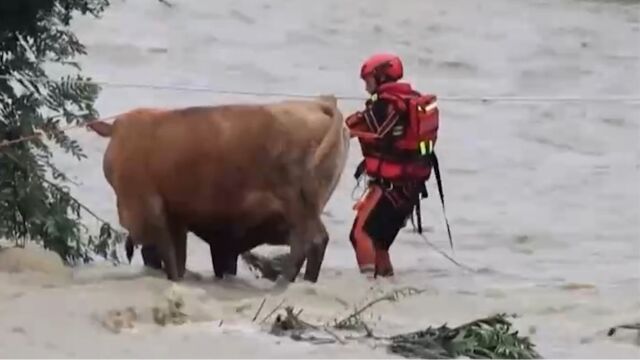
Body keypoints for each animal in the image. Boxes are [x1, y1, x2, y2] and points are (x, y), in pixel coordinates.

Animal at [87, 95, 350, 284]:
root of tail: (319, 104)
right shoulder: (176, 217)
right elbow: (177, 257)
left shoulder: (148, 209)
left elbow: (168, 257)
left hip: (297, 205)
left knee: (310, 241)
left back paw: (284, 280)